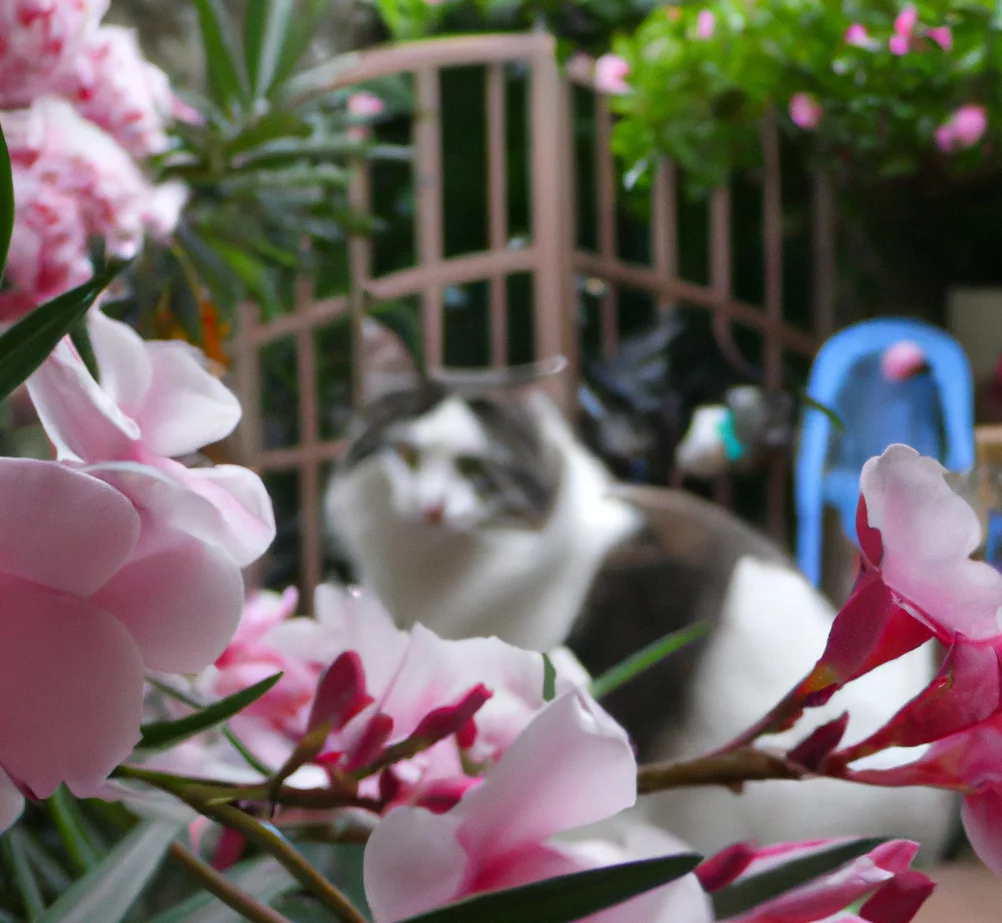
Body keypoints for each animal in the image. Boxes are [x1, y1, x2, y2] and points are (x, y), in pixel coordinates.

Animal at [324, 372, 957, 857]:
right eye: (405, 454)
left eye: (476, 470)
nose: (429, 509)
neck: (446, 581)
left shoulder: (673, 570)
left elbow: (622, 730)